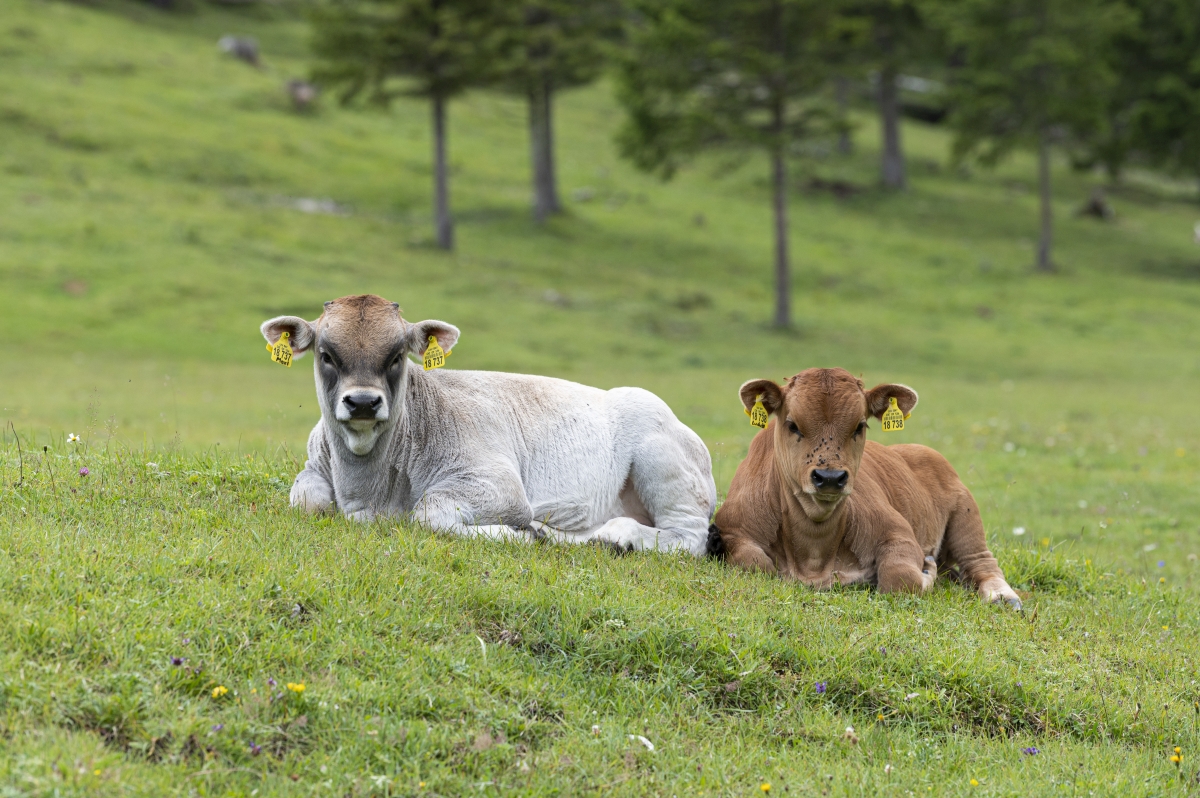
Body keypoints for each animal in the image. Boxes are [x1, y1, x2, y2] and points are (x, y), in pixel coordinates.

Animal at [710, 369, 1022, 609]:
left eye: (859, 426)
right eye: (792, 424)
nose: (830, 477)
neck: (813, 552)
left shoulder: (899, 534)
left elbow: (900, 579)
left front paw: (925, 570)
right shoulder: (734, 531)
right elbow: (754, 563)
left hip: (966, 516)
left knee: (981, 562)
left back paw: (1003, 597)